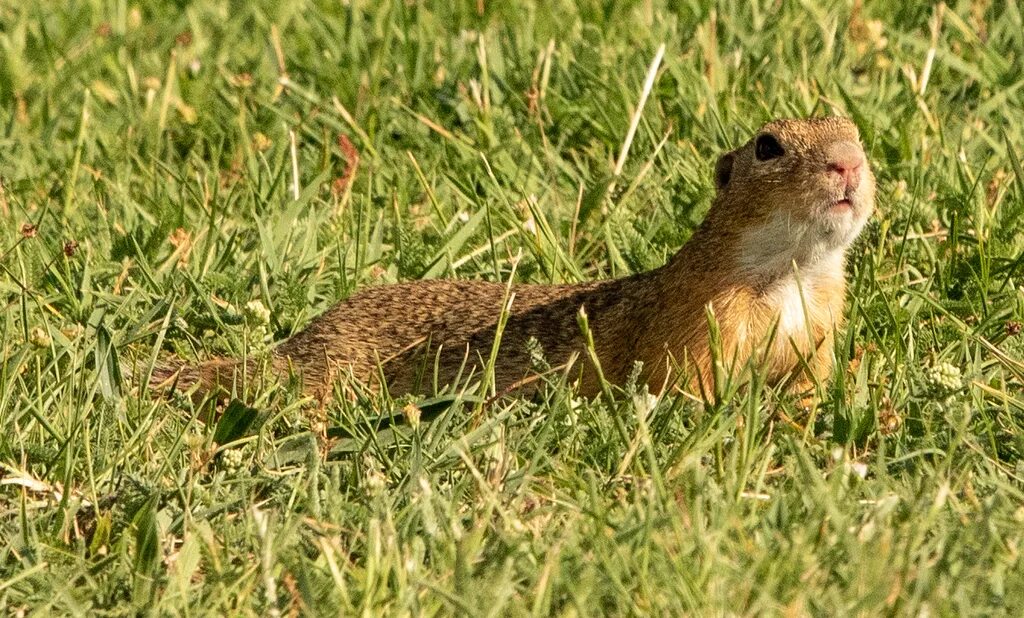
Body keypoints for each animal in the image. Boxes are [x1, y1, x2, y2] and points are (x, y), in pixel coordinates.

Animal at [151, 117, 872, 401]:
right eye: (768, 145)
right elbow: (683, 393)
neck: (788, 274)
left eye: (855, 131)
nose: (849, 163)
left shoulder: (817, 335)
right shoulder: (697, 331)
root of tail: (296, 348)